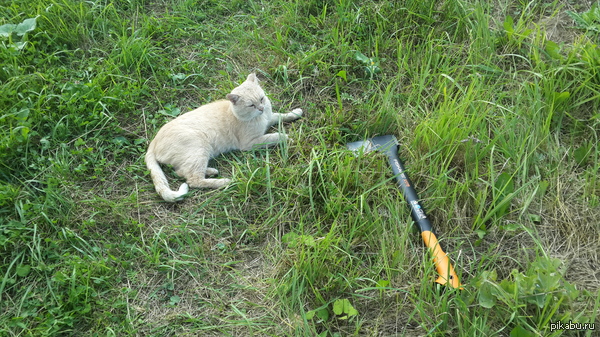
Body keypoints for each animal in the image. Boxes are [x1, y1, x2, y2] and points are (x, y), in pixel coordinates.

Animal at [144, 72, 302, 201]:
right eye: (251, 105)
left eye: (262, 99)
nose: (261, 108)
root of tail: (153, 142)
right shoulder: (250, 143)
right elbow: (274, 136)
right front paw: (287, 137)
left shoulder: (269, 118)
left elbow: (281, 115)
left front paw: (296, 113)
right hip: (200, 147)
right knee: (193, 180)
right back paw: (226, 181)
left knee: (182, 172)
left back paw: (211, 171)